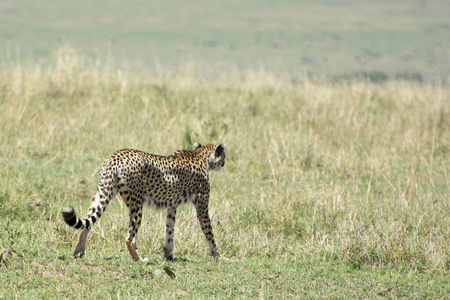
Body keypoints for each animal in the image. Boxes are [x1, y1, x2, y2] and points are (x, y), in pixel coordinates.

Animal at [61, 143, 227, 260]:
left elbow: (170, 229)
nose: (224, 163)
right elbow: (209, 233)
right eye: (224, 155)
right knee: (129, 237)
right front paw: (219, 256)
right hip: (136, 202)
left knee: (86, 223)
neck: (200, 155)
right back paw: (140, 259)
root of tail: (116, 156)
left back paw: (78, 252)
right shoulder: (202, 207)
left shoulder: (172, 205)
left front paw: (168, 255)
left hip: (104, 192)